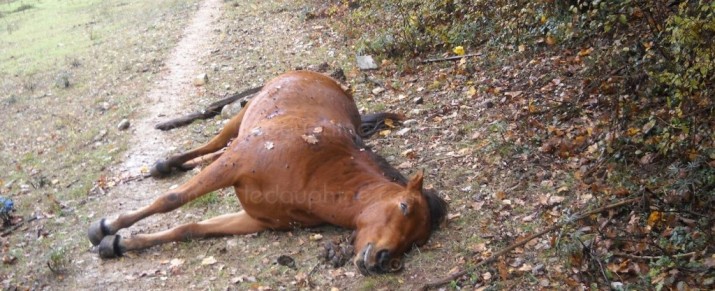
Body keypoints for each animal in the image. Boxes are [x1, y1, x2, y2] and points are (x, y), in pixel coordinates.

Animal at [88, 70, 448, 276]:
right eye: (404, 207)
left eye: (416, 242)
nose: (383, 260)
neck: (316, 168)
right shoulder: (234, 164)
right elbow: (171, 200)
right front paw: (106, 227)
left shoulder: (256, 220)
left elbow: (190, 229)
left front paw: (118, 244)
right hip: (241, 116)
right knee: (213, 144)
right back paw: (165, 163)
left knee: (214, 151)